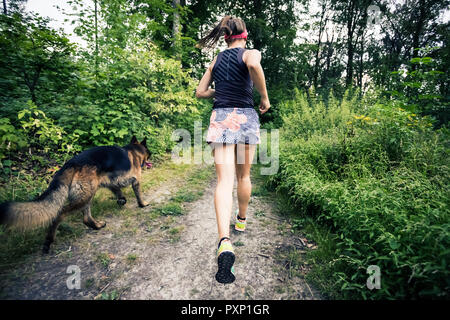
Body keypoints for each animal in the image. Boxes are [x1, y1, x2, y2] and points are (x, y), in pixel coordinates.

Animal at [0, 136, 151, 254]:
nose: (150, 157)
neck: (134, 151)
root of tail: (71, 163)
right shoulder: (136, 180)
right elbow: (138, 194)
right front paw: (142, 204)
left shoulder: (111, 183)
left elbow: (119, 192)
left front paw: (121, 200)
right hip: (85, 196)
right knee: (60, 214)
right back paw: (49, 240)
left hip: (87, 195)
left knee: (86, 218)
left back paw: (96, 226)